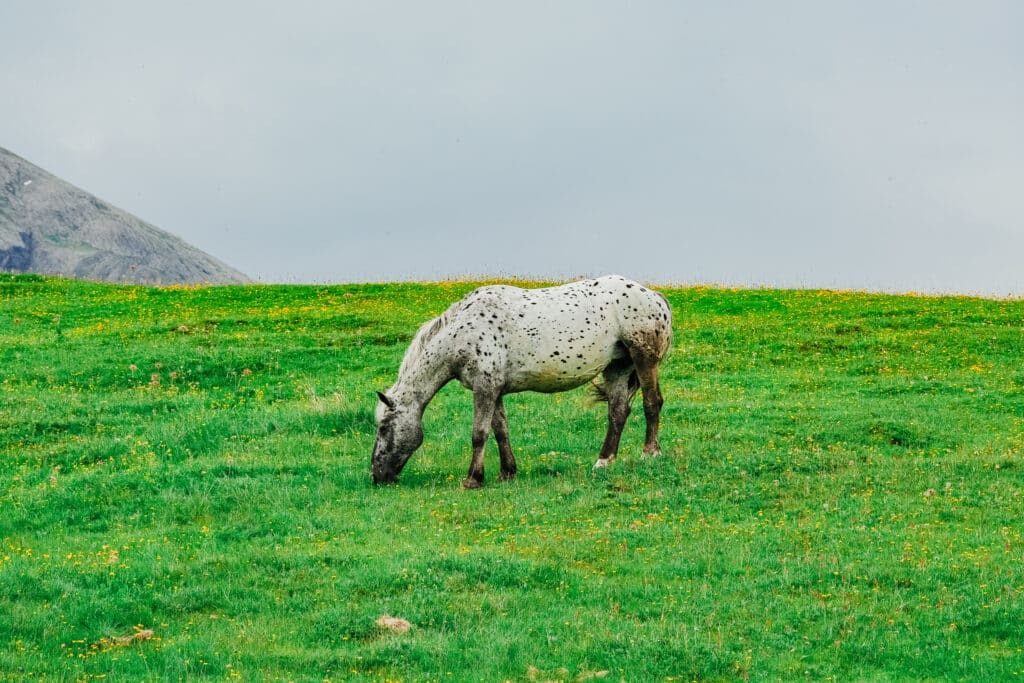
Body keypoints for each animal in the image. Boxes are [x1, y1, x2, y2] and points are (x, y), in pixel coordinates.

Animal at [371, 275, 673, 488]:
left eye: (384, 427)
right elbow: (500, 431)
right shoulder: (494, 390)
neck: (463, 331)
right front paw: (507, 472)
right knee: (618, 412)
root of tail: (654, 296)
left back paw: (650, 453)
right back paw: (604, 461)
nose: (377, 476)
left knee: (651, 403)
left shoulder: (484, 388)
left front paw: (472, 480)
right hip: (617, 368)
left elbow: (479, 433)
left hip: (643, 360)